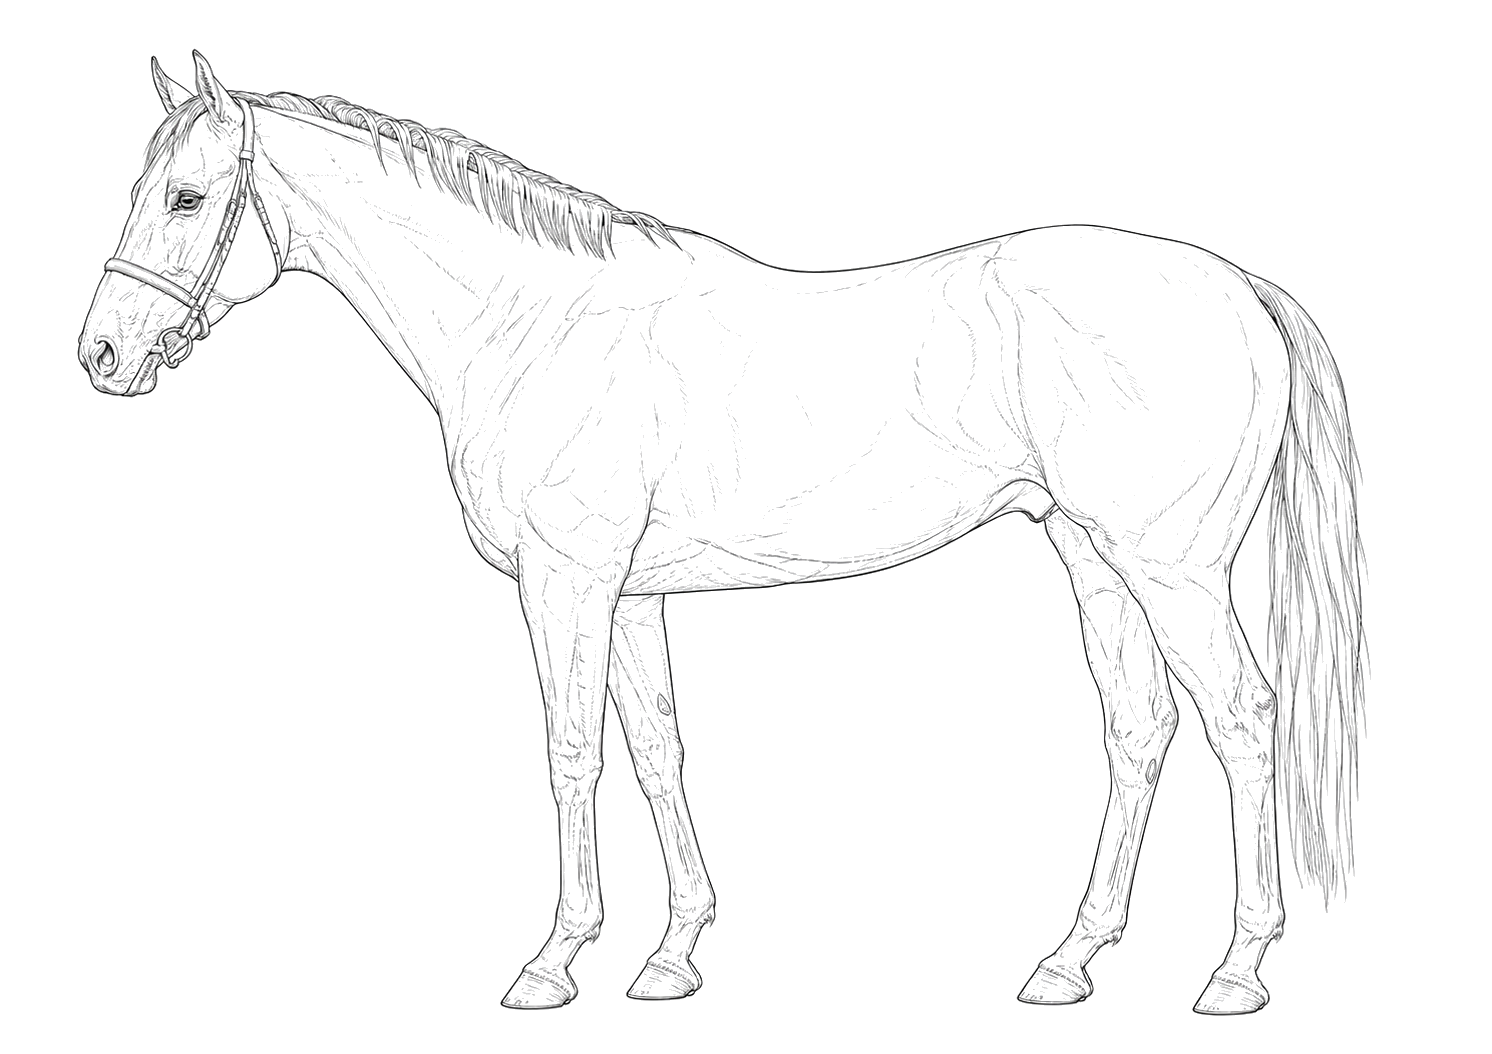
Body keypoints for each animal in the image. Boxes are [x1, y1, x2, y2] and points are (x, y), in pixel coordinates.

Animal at [77, 53, 1365, 1015]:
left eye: (186, 196)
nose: (101, 353)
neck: (535, 325)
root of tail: (1240, 288)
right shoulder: (633, 592)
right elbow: (657, 750)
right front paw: (672, 955)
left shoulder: (566, 580)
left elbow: (572, 753)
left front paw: (553, 962)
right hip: (1094, 558)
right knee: (1139, 727)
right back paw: (1066, 961)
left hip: (1171, 568)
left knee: (1239, 716)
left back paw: (1236, 971)